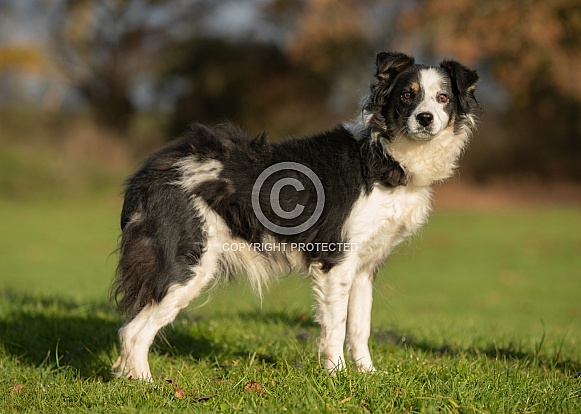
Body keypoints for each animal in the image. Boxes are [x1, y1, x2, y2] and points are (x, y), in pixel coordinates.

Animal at [111, 53, 478, 380]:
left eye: (443, 98)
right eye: (406, 95)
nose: (425, 118)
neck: (385, 153)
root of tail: (148, 172)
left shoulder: (365, 266)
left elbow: (360, 326)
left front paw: (367, 375)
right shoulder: (336, 260)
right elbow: (336, 326)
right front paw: (336, 376)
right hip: (189, 263)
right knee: (132, 331)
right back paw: (145, 386)